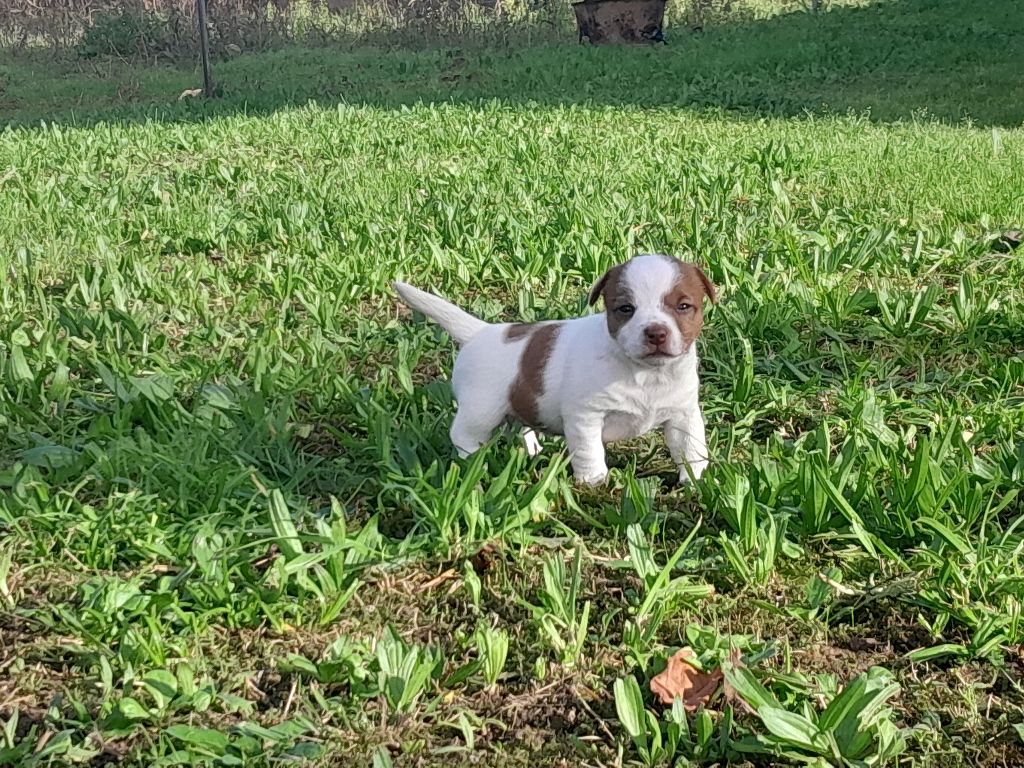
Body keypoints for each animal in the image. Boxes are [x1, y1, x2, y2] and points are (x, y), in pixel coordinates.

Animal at [393, 259, 720, 487]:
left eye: (683, 306)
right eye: (626, 309)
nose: (656, 332)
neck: (646, 373)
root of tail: (480, 332)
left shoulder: (683, 414)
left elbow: (691, 447)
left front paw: (697, 480)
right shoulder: (585, 417)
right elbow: (589, 451)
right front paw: (594, 482)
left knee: (519, 427)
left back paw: (530, 450)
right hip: (480, 410)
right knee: (464, 435)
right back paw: (473, 463)